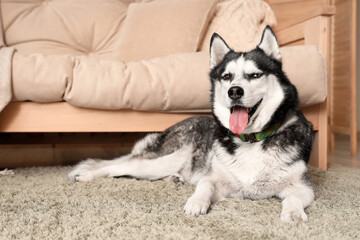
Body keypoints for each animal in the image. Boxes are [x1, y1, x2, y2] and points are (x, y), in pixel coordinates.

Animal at [69, 26, 314, 223]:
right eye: (227, 76)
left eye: (255, 75)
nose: (234, 91)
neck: (251, 140)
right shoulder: (216, 180)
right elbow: (205, 185)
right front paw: (196, 202)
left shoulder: (303, 187)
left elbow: (293, 197)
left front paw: (293, 213)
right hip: (166, 159)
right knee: (118, 167)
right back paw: (87, 175)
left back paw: (176, 178)